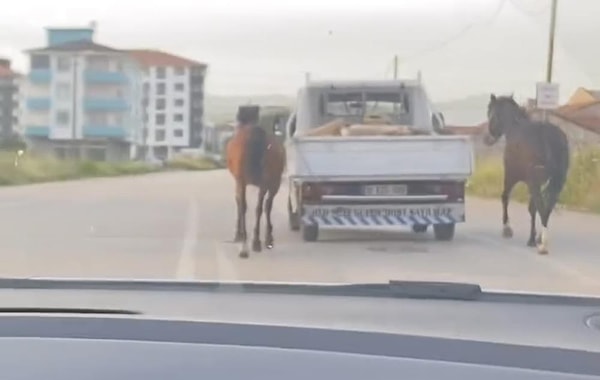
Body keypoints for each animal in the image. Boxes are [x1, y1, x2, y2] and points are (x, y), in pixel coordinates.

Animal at [227, 106, 288, 258]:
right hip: (269, 184)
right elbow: (264, 207)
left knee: (249, 206)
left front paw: (239, 234)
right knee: (261, 207)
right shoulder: (268, 184)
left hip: (258, 183)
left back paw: (248, 243)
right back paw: (257, 241)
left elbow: (240, 203)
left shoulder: (240, 181)